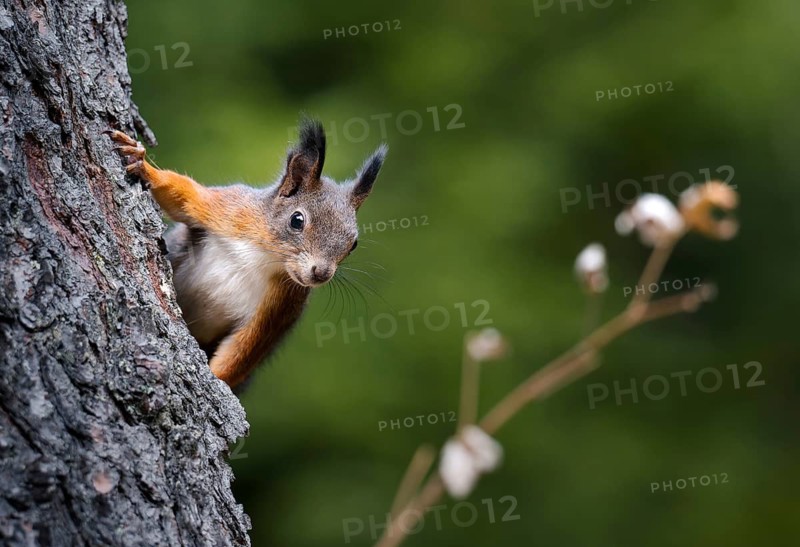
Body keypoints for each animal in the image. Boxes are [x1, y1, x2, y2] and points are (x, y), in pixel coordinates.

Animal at [108, 119, 386, 389]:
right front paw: (142, 164)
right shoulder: (230, 210)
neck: (264, 254)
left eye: (353, 244)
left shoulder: (278, 307)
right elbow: (183, 197)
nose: (321, 273)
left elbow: (241, 351)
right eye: (297, 220)